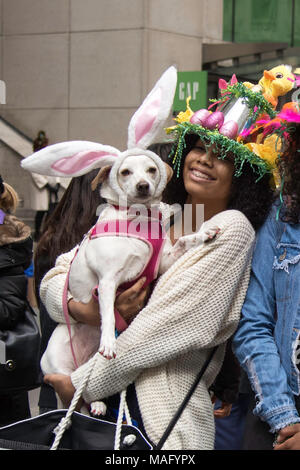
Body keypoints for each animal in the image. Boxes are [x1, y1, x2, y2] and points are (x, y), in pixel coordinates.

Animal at [21, 66, 218, 414]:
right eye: (124, 172)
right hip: (58, 362)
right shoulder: (108, 281)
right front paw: (110, 342)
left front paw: (203, 233)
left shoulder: (163, 261)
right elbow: (108, 315)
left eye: (151, 169)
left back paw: (100, 404)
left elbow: (182, 243)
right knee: (74, 391)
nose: (142, 186)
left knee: (87, 390)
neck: (138, 220)